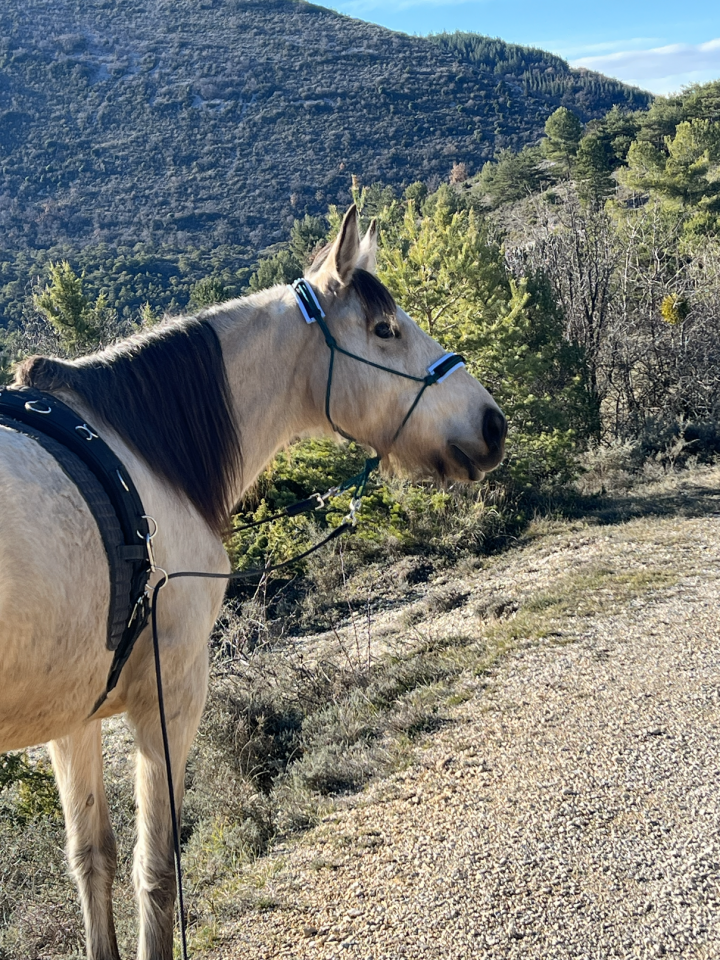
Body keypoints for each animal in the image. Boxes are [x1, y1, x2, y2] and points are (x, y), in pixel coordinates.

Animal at [0, 206, 506, 960]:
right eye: (386, 328)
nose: (492, 424)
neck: (141, 455)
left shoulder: (74, 718)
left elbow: (92, 859)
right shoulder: (170, 696)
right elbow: (156, 872)